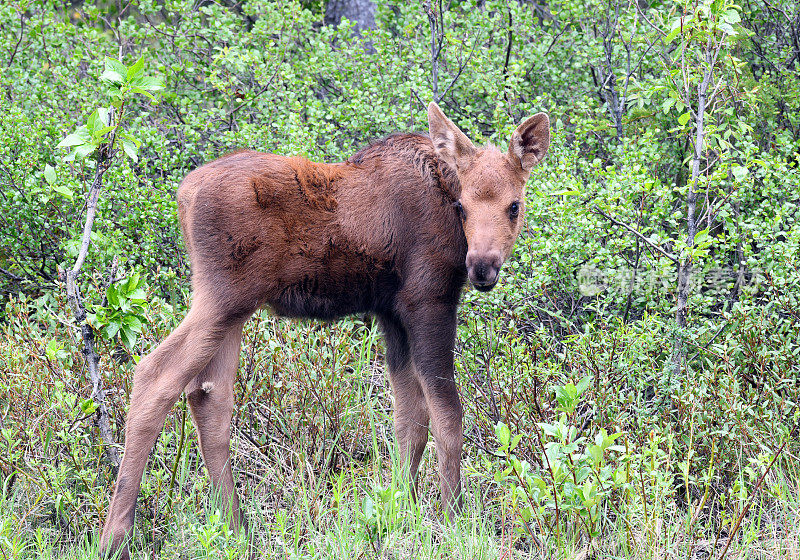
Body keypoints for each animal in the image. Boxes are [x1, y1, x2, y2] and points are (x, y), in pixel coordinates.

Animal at [100, 103, 548, 556]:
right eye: (462, 207)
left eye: (514, 205)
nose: (482, 266)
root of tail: (184, 194)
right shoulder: (429, 299)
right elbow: (447, 416)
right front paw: (454, 520)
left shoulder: (390, 313)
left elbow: (410, 420)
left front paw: (399, 512)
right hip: (224, 297)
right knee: (155, 375)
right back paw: (115, 536)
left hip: (230, 306)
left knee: (210, 397)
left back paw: (236, 529)